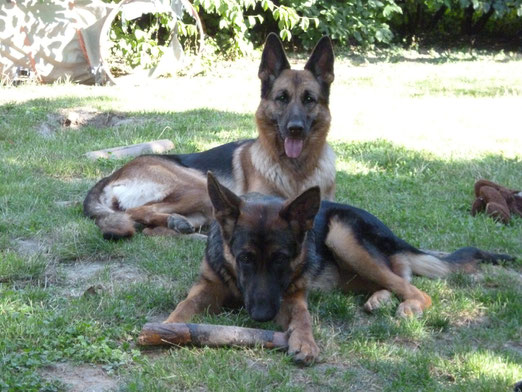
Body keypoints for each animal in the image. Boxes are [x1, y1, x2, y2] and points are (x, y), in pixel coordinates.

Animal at [81, 33, 334, 240]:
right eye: (282, 98)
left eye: (309, 99)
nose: (295, 129)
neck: (296, 170)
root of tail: (112, 176)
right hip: (198, 187)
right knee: (138, 213)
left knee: (155, 231)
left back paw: (178, 225)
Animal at [166, 174, 512, 364]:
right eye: (245, 258)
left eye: (281, 259)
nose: (262, 317)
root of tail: (394, 237)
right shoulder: (207, 285)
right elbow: (185, 305)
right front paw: (169, 326)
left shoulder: (293, 296)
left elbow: (303, 318)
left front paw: (305, 342)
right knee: (393, 279)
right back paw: (378, 299)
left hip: (343, 235)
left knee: (413, 288)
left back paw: (408, 306)